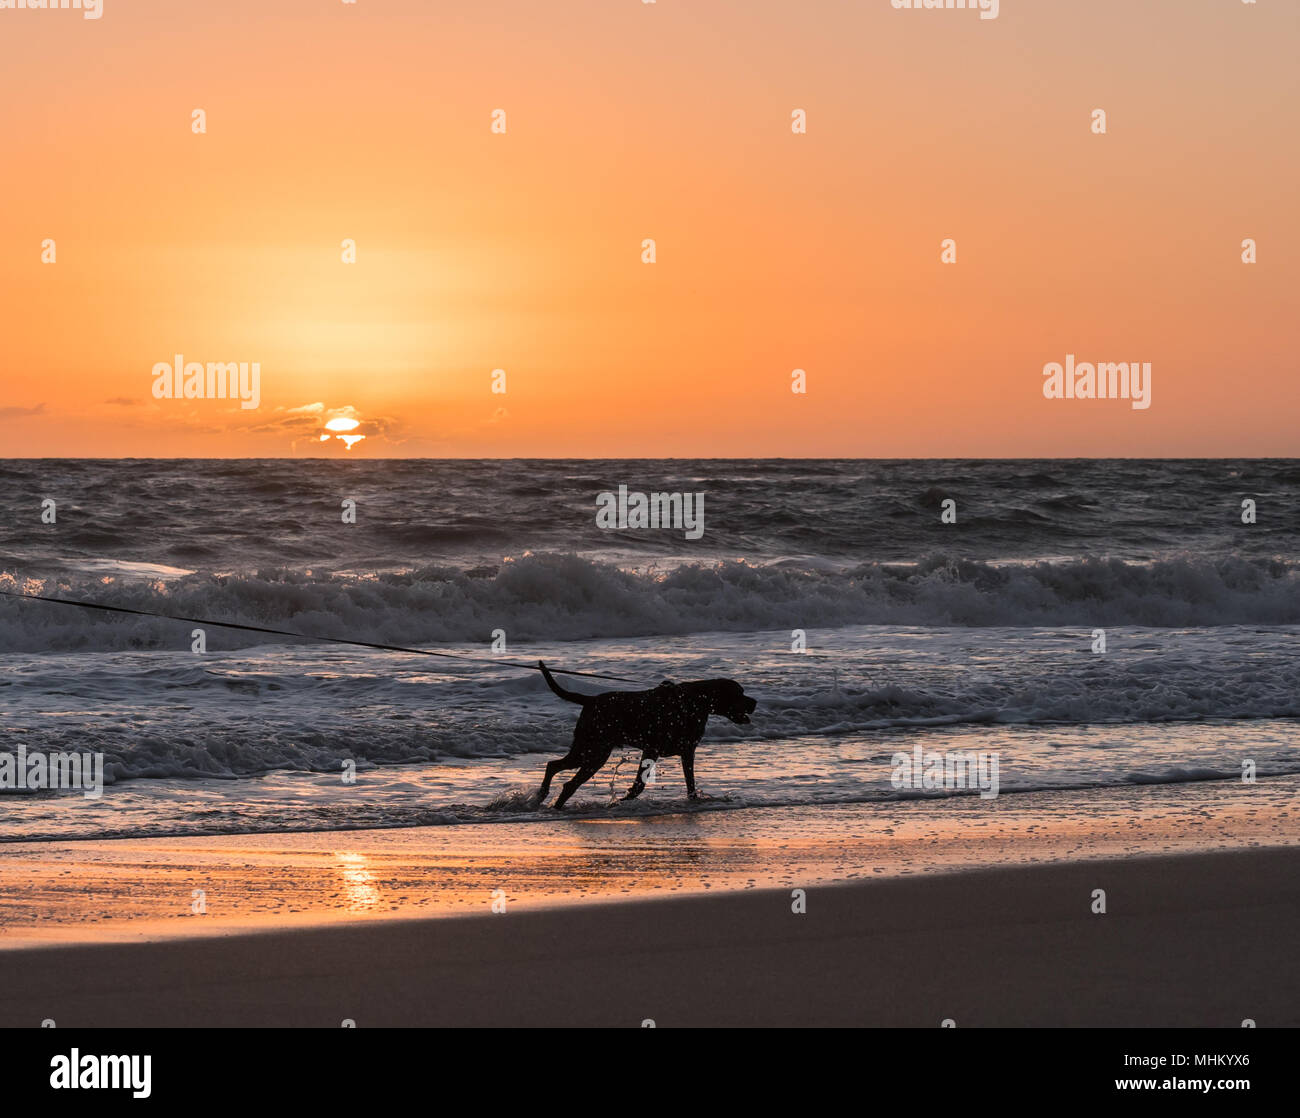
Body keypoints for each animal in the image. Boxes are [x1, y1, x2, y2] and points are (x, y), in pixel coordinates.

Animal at [533, 660, 759, 806]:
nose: (755, 702)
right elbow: (639, 784)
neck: (697, 700)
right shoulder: (652, 749)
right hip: (595, 751)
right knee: (568, 783)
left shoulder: (686, 752)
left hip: (586, 749)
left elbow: (690, 782)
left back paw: (542, 795)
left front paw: (693, 799)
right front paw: (624, 798)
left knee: (554, 766)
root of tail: (590, 700)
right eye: (739, 693)